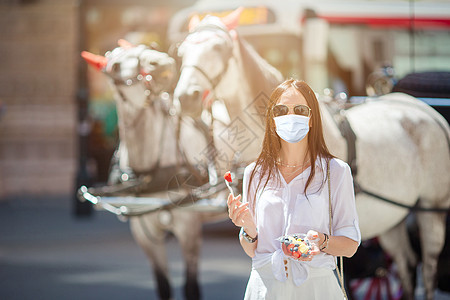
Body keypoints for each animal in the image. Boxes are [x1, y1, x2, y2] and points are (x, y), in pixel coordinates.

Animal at [173, 9, 450, 300]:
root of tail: (423, 109)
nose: (186, 97)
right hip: (391, 215)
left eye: (219, 48)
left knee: (427, 268)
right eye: (181, 52)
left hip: (431, 209)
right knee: (406, 264)